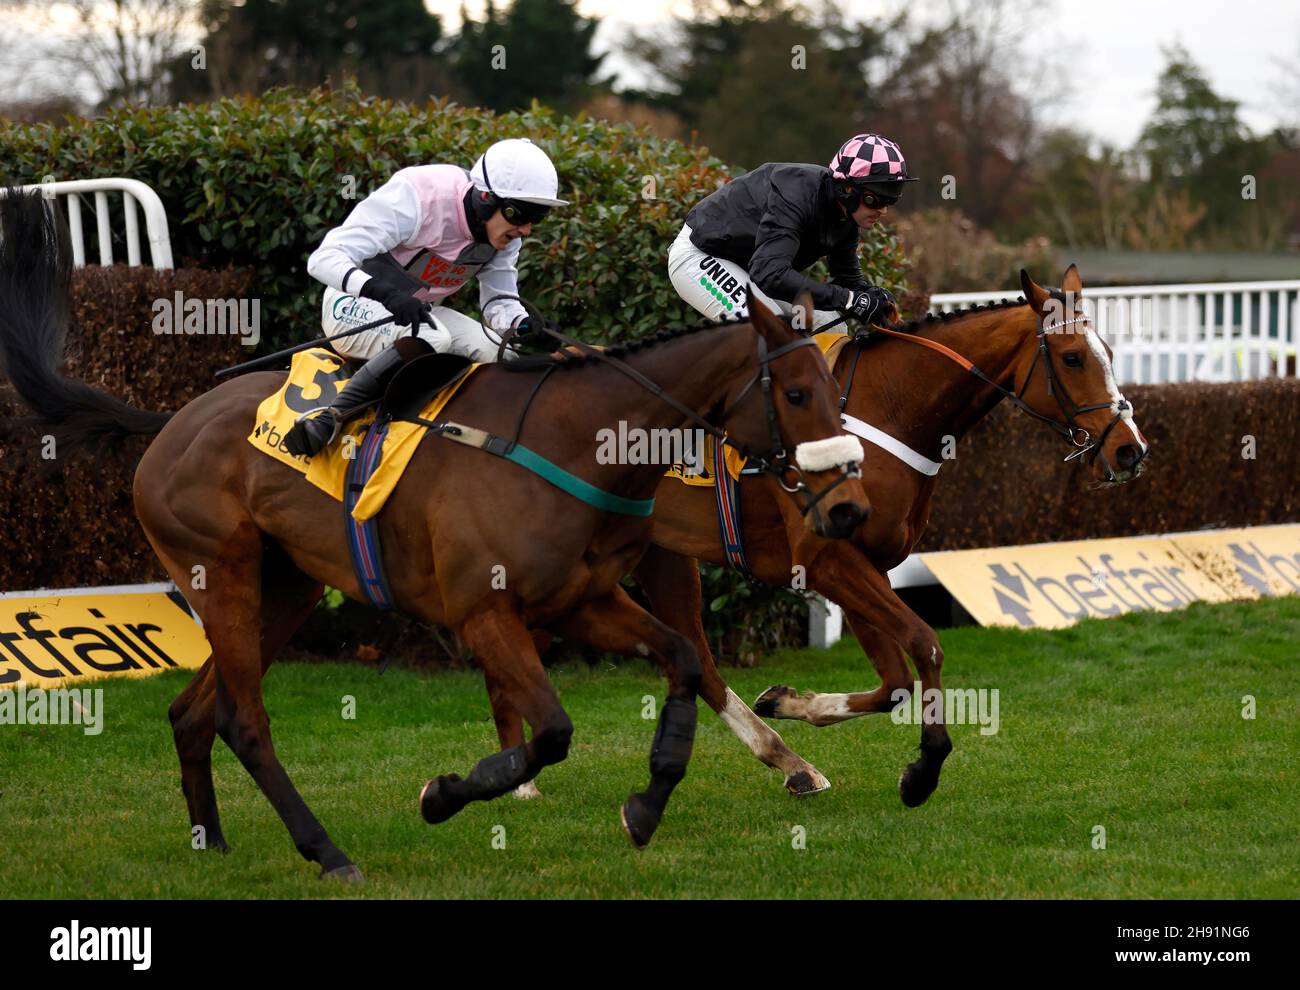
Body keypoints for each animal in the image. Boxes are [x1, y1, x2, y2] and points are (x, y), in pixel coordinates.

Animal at [0, 188, 873, 873]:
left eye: (836, 388)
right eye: (797, 393)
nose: (849, 508)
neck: (568, 441)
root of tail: (168, 423)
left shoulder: (584, 601)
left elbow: (686, 661)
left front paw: (649, 803)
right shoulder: (484, 613)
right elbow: (552, 731)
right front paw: (448, 792)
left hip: (283, 588)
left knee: (193, 712)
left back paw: (209, 840)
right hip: (221, 575)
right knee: (243, 721)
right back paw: (326, 851)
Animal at [504, 263, 1149, 800]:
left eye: (1111, 351)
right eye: (1071, 357)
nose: (1130, 450)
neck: (889, 410)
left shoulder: (867, 565)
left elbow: (894, 681)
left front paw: (792, 701)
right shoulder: (828, 560)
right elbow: (925, 643)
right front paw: (924, 769)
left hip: (654, 555)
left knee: (695, 662)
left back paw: (793, 765)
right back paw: (520, 776)